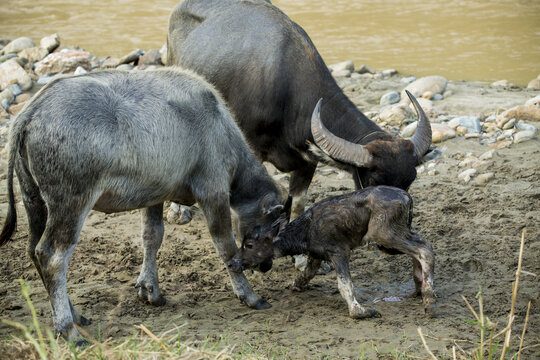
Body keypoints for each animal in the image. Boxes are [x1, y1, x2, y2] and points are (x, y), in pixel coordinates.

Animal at [0, 68, 284, 344]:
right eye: (265, 235)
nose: (266, 266)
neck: (219, 126)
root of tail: (33, 109)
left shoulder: (156, 197)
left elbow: (152, 236)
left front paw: (150, 289)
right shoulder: (213, 191)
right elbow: (226, 247)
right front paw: (249, 295)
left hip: (34, 200)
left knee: (33, 250)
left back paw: (75, 315)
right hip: (70, 204)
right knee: (52, 257)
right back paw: (68, 328)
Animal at [228, 187, 434, 320]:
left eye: (249, 245)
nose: (231, 263)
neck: (306, 230)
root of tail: (406, 197)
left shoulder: (339, 253)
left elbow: (344, 284)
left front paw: (361, 312)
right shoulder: (316, 256)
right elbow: (306, 274)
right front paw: (295, 285)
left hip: (384, 234)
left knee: (424, 250)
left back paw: (429, 301)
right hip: (399, 233)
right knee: (422, 246)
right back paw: (419, 289)